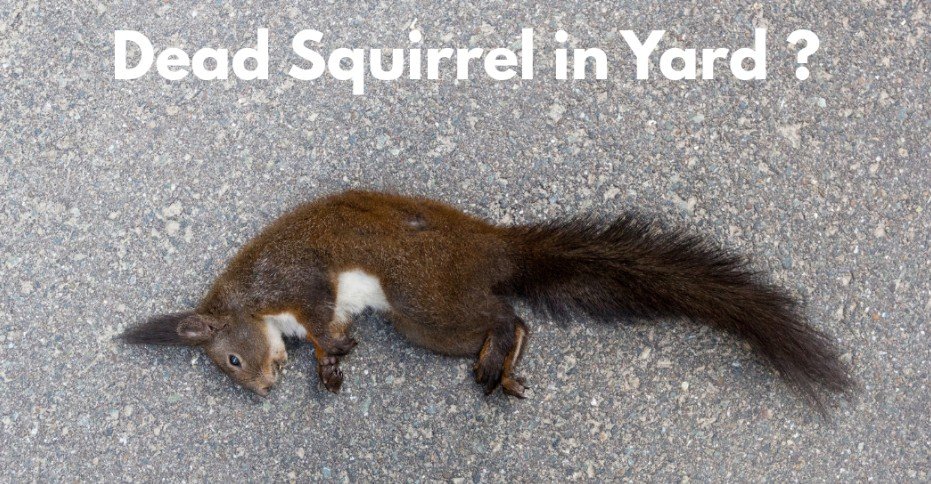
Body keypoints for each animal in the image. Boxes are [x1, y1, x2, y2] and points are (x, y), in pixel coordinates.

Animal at [123, 190, 854, 410]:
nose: (260, 391)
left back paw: (498, 356)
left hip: (420, 302)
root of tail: (491, 249)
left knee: (507, 315)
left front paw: (326, 352)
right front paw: (330, 365)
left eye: (230, 362)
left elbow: (318, 313)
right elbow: (331, 336)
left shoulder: (295, 281)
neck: (248, 302)